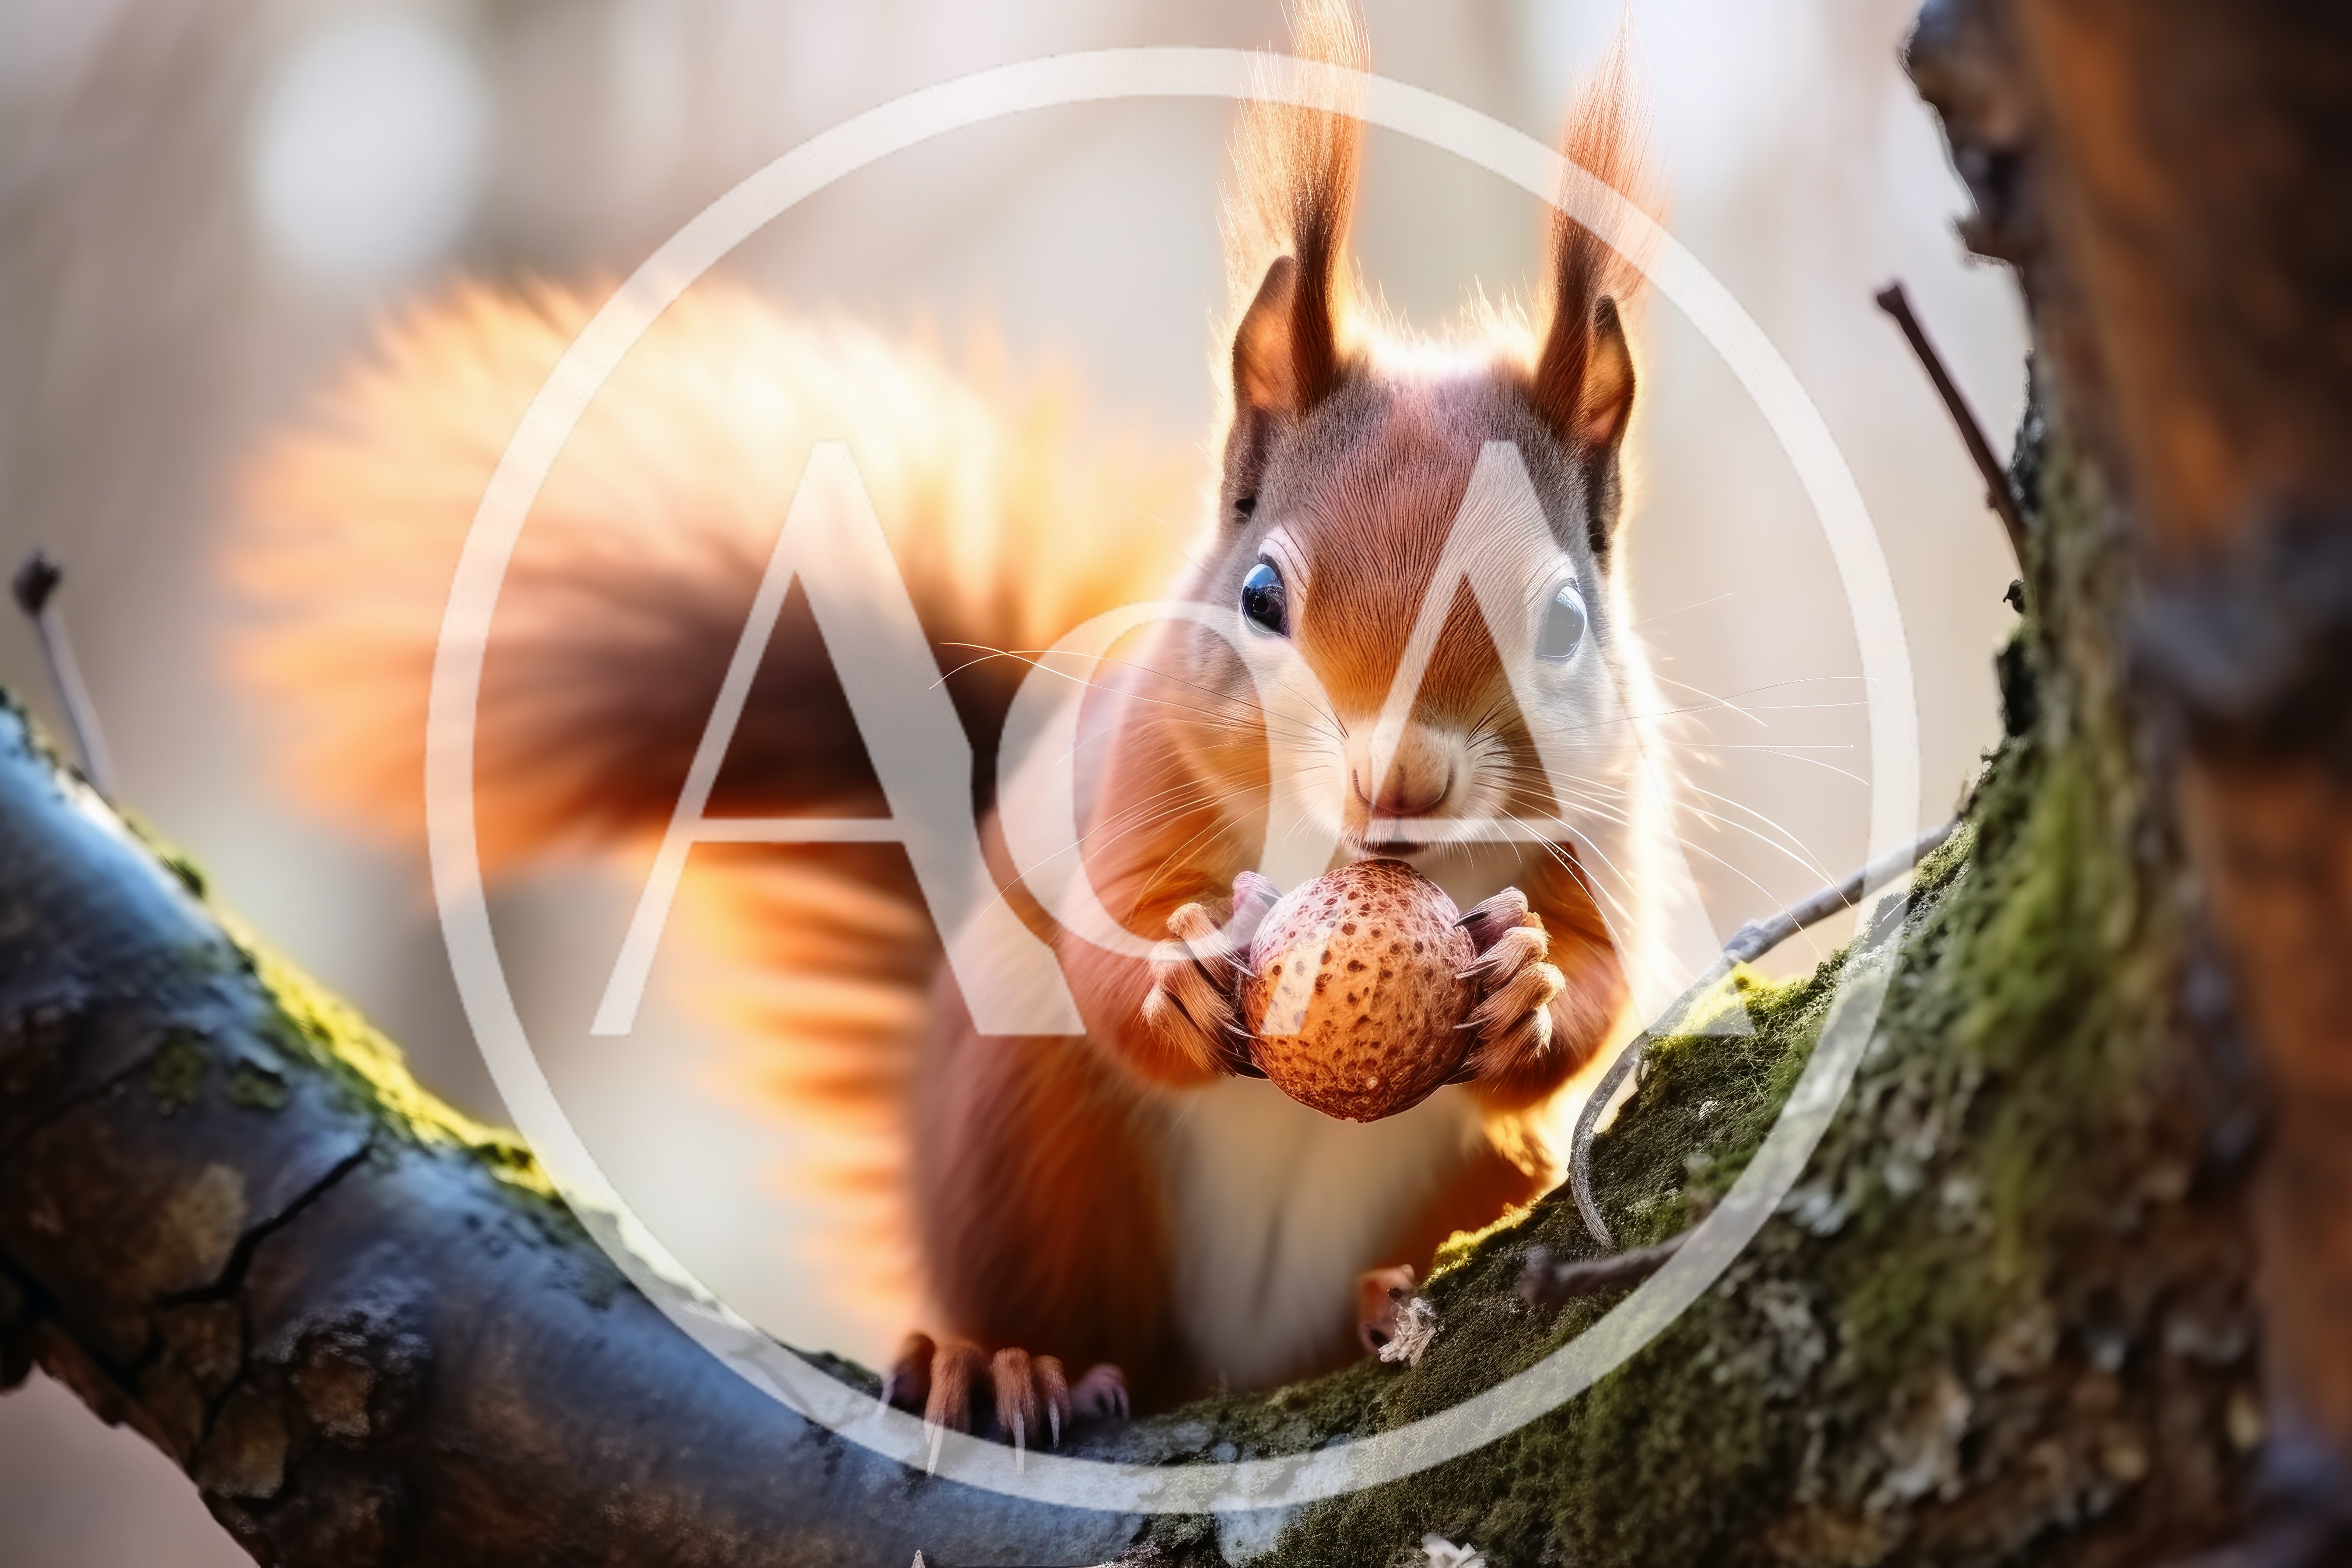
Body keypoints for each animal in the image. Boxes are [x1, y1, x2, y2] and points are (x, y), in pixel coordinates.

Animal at [226, 1, 1670, 1451]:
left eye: (1562, 622)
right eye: (1261, 595)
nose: (1401, 781)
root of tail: (1238, 1364)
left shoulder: (1606, 828)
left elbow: (1604, 984)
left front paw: (1530, 987)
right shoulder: (1128, 784)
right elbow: (1108, 942)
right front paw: (1180, 974)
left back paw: (1383, 1297)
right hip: (1028, 1142)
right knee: (1080, 1309)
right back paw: (1007, 1366)